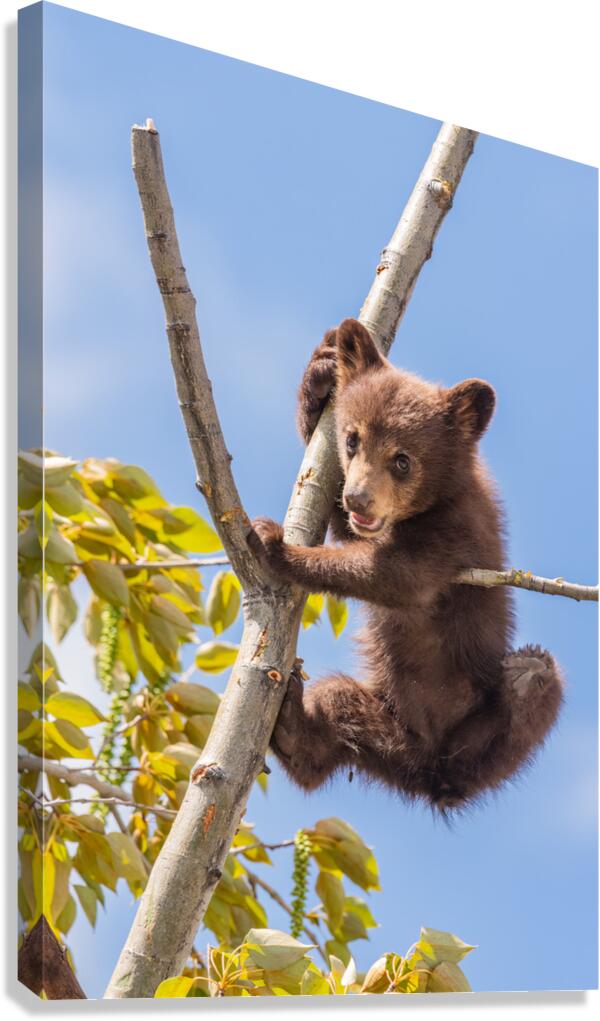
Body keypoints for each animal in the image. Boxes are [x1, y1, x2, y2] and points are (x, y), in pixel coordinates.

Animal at [249, 318, 564, 811]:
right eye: (351, 439)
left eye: (402, 460)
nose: (359, 498)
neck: (434, 499)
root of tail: (430, 778)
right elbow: (351, 534)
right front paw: (321, 372)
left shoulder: (457, 530)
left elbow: (398, 575)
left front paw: (274, 544)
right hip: (384, 723)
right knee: (336, 713)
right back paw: (293, 725)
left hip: (478, 736)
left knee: (536, 688)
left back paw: (525, 674)